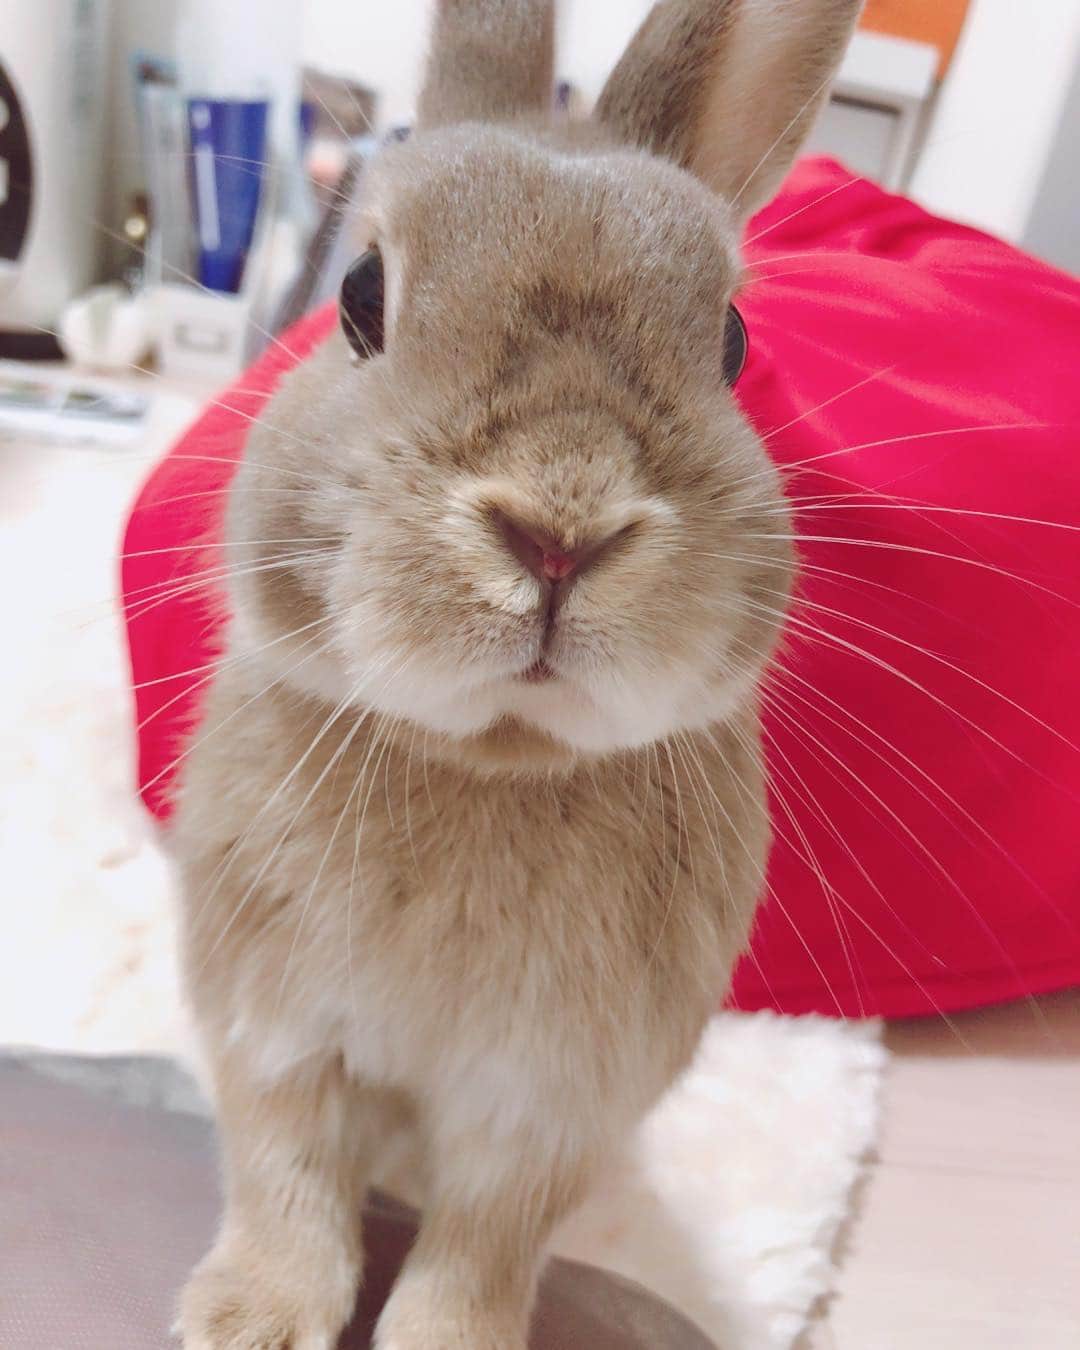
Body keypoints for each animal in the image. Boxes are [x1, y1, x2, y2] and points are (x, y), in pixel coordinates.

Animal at [174, 2, 862, 1347]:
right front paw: (247, 1319)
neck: (490, 759)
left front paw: (444, 1339)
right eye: (360, 296)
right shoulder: (274, 1035)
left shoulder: (547, 1108)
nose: (559, 531)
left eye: (733, 343)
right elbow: (285, 1175)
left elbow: (483, 1247)